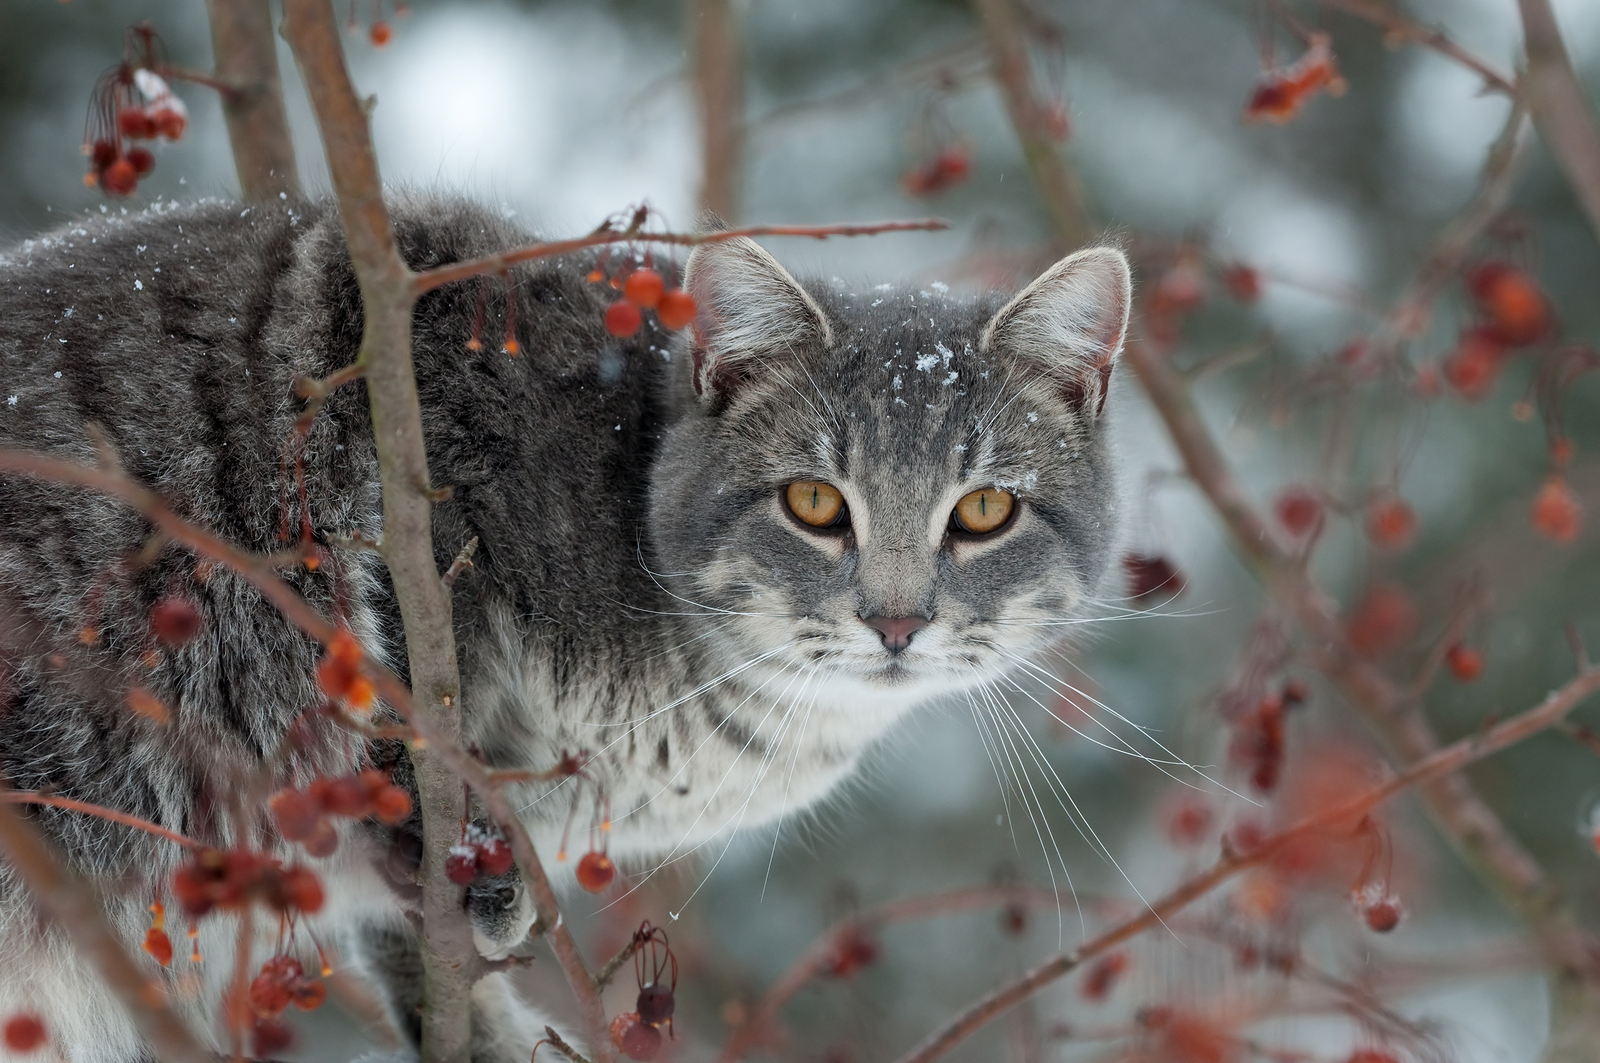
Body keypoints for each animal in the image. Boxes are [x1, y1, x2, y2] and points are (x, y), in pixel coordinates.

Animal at [0, 195, 1132, 1063]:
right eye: (813, 502)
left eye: (983, 511)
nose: (895, 621)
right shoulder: (407, 412)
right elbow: (402, 665)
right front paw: (445, 830)